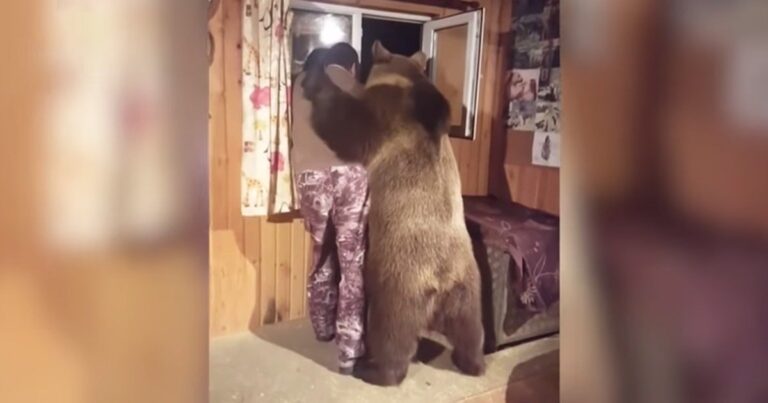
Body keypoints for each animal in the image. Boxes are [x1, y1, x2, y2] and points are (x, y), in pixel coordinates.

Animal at [302, 41, 485, 386]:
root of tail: (440, 279)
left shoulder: (382, 119)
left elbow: (343, 123)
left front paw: (316, 72)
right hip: (467, 287)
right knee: (470, 329)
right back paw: (473, 362)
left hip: (397, 282)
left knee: (391, 333)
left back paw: (373, 369)